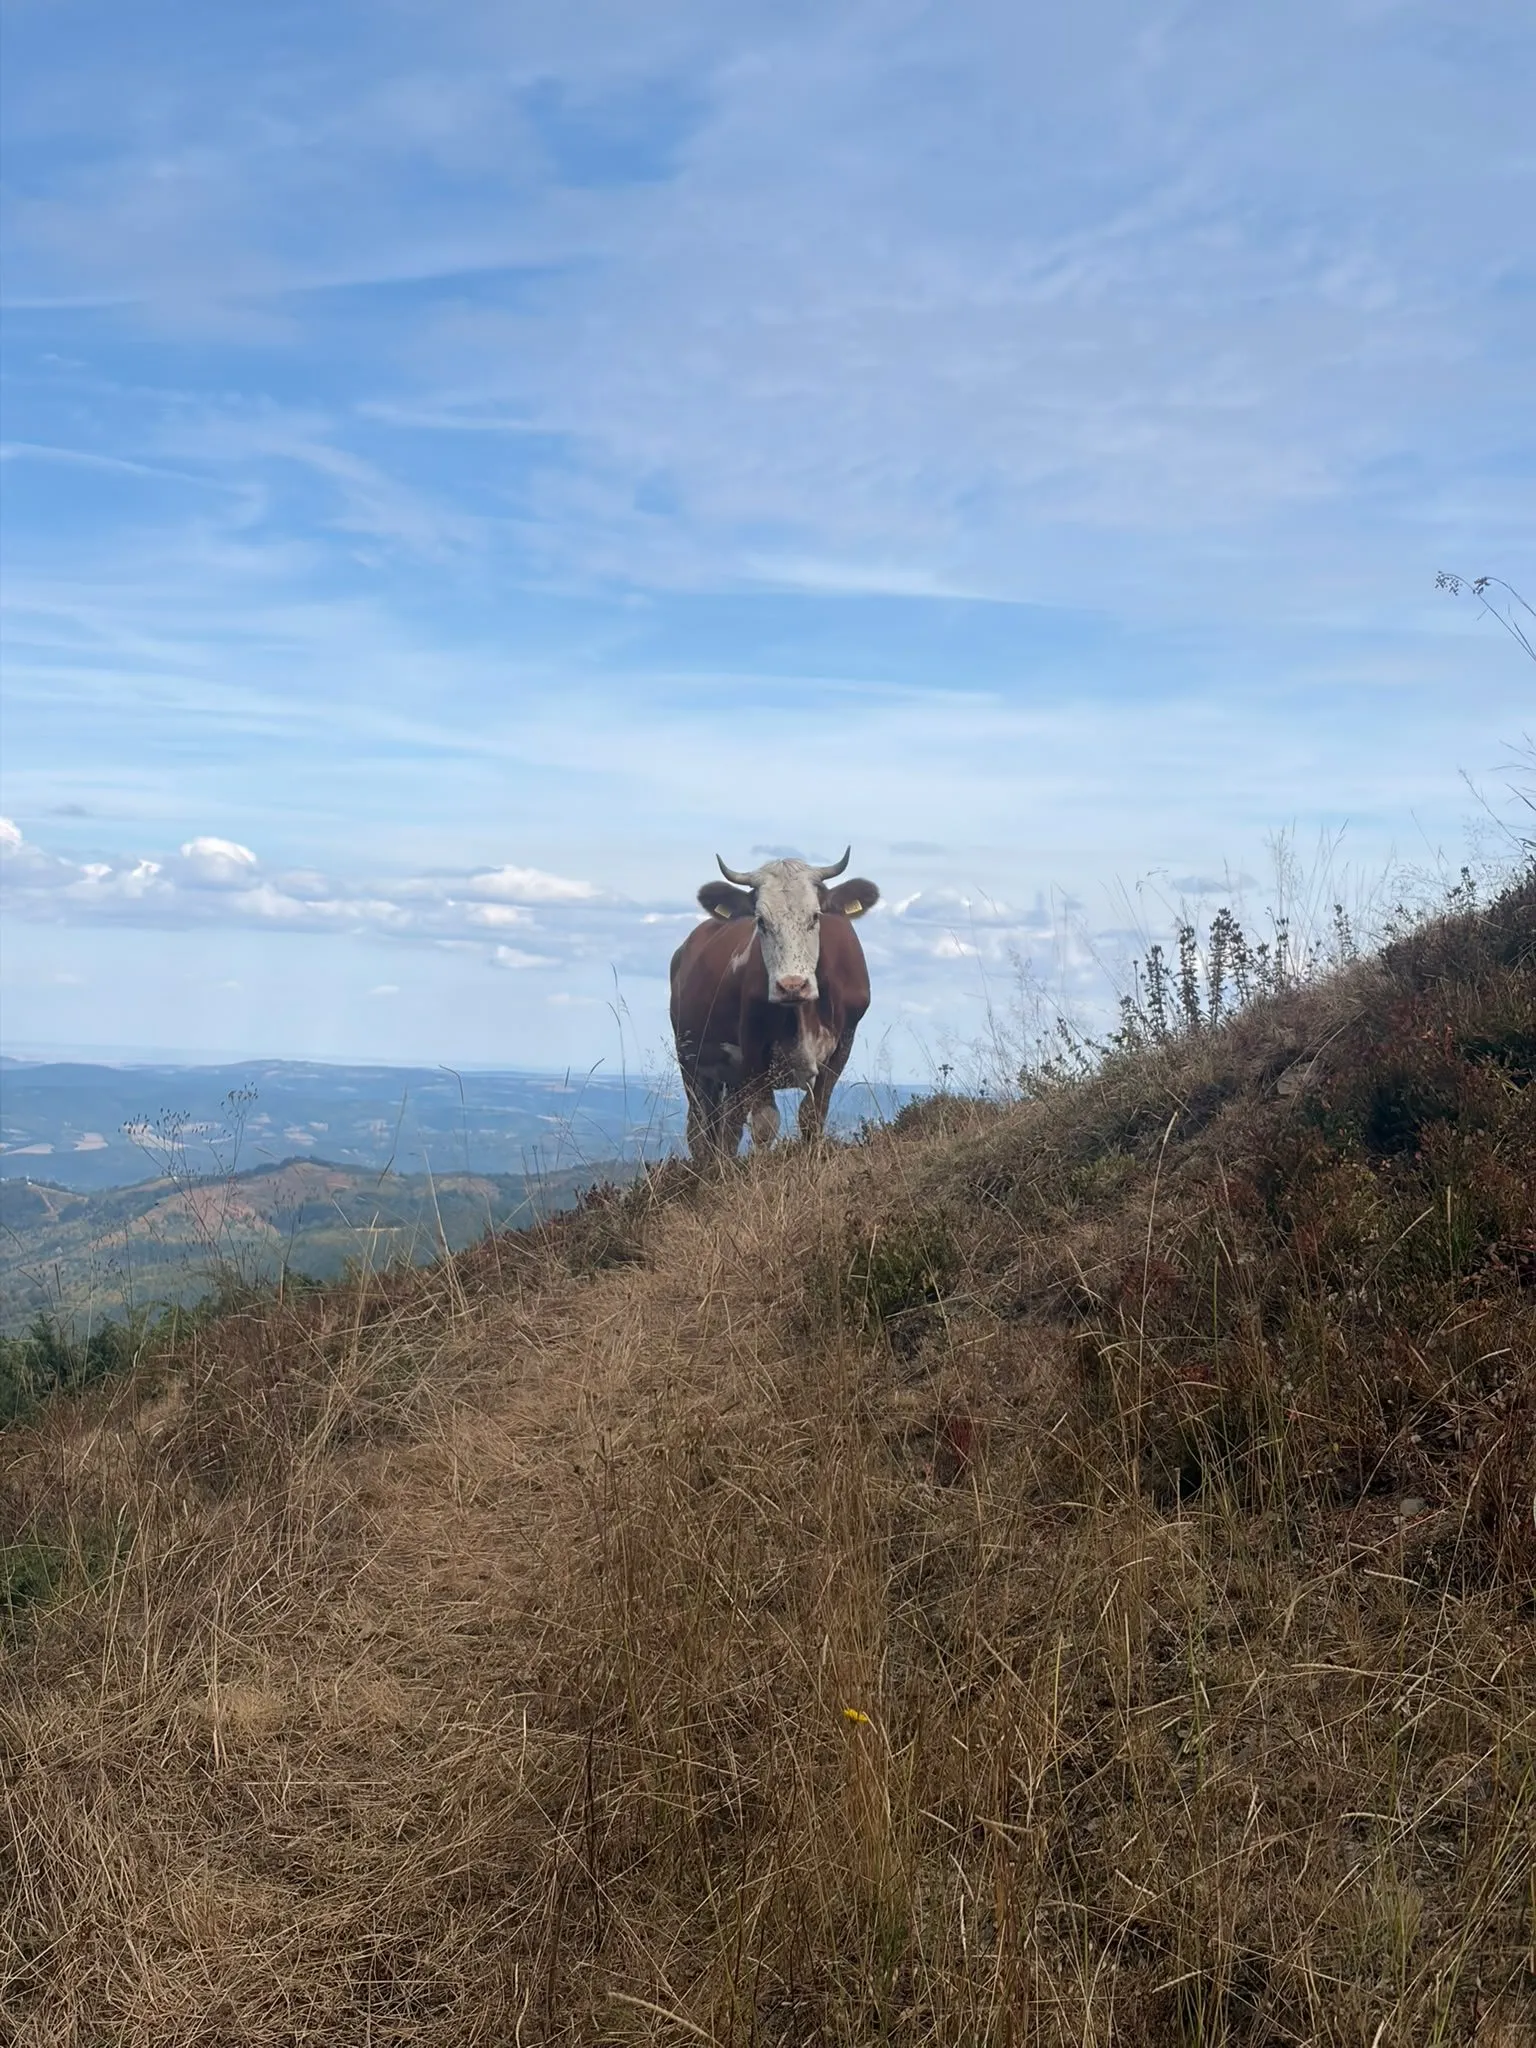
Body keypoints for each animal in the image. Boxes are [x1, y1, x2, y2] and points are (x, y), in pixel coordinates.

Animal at [669, 848, 880, 1162]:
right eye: (761, 921)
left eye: (815, 916)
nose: (792, 985)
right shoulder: (754, 1050)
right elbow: (765, 1124)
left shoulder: (844, 1042)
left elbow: (812, 1114)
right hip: (691, 1061)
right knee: (700, 1129)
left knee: (726, 1129)